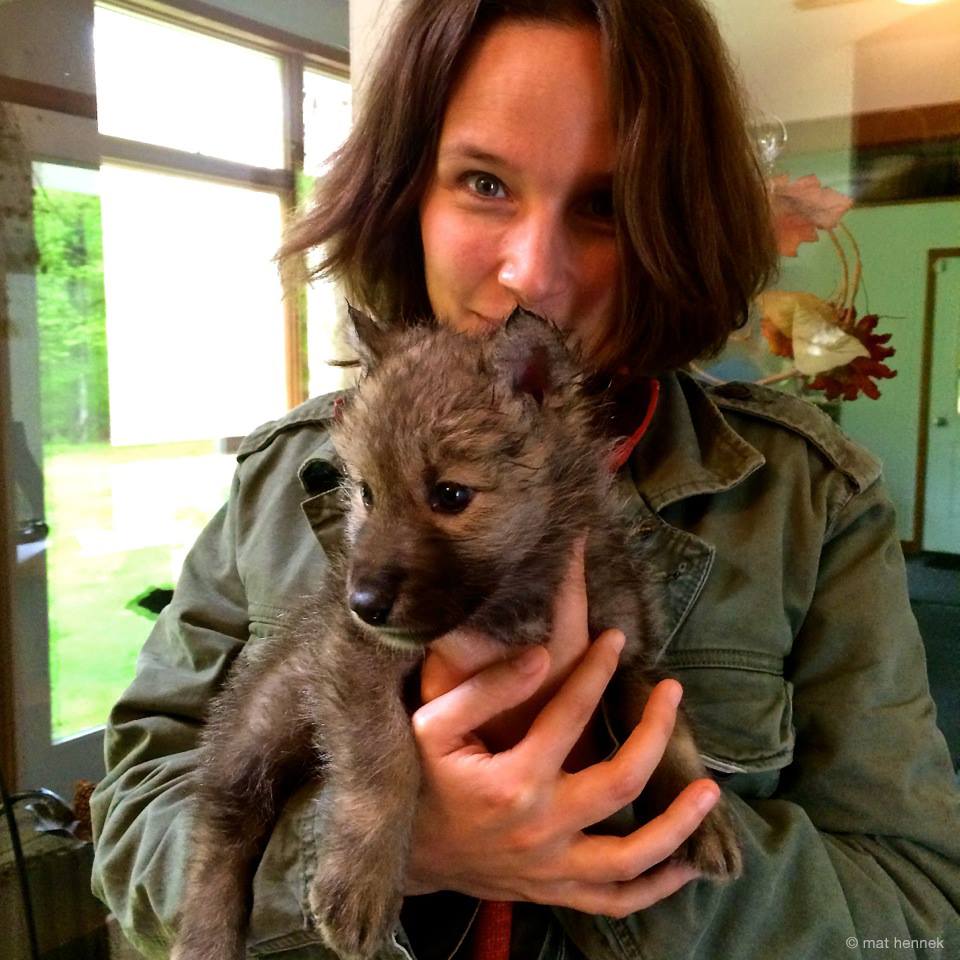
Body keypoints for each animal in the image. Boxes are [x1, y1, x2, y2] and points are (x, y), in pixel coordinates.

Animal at [173, 309, 741, 960]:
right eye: (366, 493)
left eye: (450, 494)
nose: (362, 604)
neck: (512, 594)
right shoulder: (354, 659)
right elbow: (383, 758)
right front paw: (361, 879)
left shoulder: (628, 650)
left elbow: (667, 728)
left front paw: (701, 813)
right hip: (257, 734)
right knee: (219, 837)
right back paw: (206, 936)